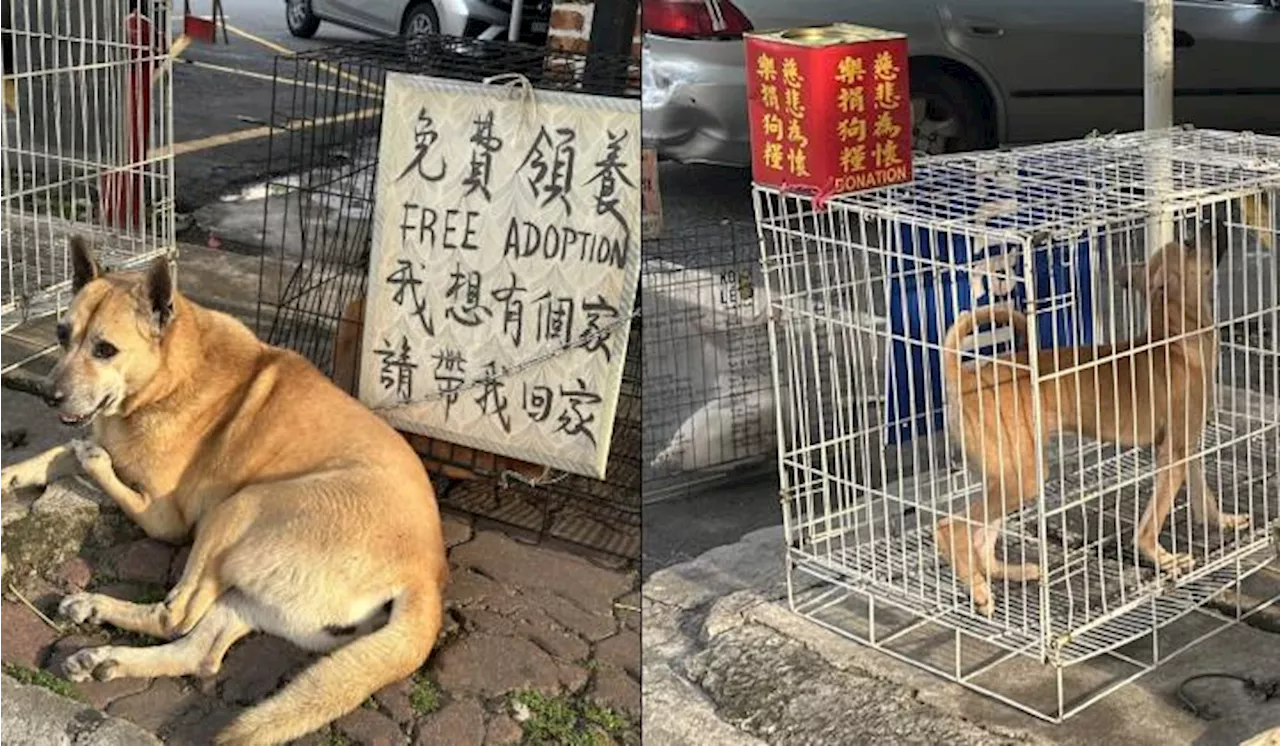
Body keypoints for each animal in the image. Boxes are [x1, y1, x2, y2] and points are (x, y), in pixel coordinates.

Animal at [0, 240, 450, 746]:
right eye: (61, 335)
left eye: (105, 349)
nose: (49, 395)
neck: (172, 374)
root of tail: (427, 575)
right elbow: (55, 453)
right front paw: (11, 475)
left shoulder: (165, 516)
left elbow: (92, 462)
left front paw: (91, 460)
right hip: (248, 595)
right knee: (199, 649)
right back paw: (102, 646)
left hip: (239, 508)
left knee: (176, 616)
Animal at [936, 216, 1244, 619]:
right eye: (1190, 243)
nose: (1215, 219)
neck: (1175, 338)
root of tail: (965, 376)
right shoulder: (1172, 454)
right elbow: (1149, 527)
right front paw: (1164, 560)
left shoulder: (1187, 449)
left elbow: (1204, 500)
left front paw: (1225, 522)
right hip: (1020, 477)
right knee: (951, 527)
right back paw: (978, 589)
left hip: (1009, 473)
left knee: (981, 540)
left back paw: (1007, 574)